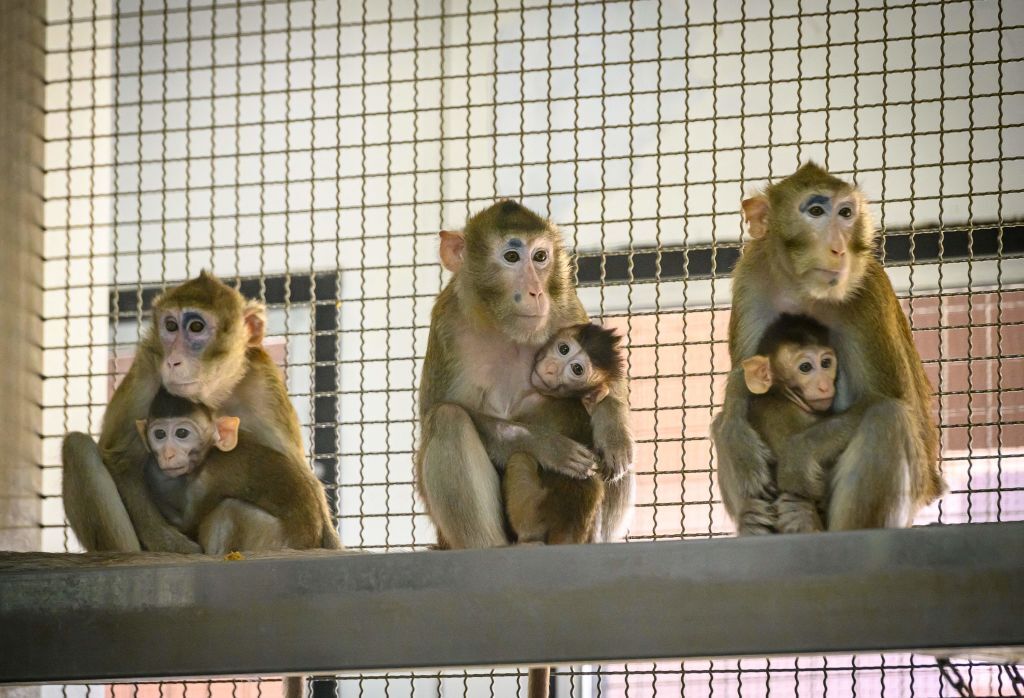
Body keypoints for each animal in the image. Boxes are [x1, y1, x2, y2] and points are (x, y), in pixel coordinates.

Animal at [137, 387, 336, 552]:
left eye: (182, 433)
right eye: (160, 435)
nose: (167, 454)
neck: (212, 452)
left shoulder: (210, 477)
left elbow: (187, 523)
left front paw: (153, 474)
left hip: (271, 540)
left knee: (229, 509)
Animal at [503, 323, 626, 545]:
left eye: (577, 369)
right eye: (564, 349)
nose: (551, 368)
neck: (568, 398)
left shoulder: (530, 403)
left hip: (531, 514)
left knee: (520, 459)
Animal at [711, 162, 944, 535]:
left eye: (846, 213)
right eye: (816, 212)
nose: (838, 248)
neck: (804, 291)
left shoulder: (867, 294)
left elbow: (901, 405)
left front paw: (798, 455)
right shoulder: (752, 278)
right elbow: (743, 383)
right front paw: (736, 438)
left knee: (888, 417)